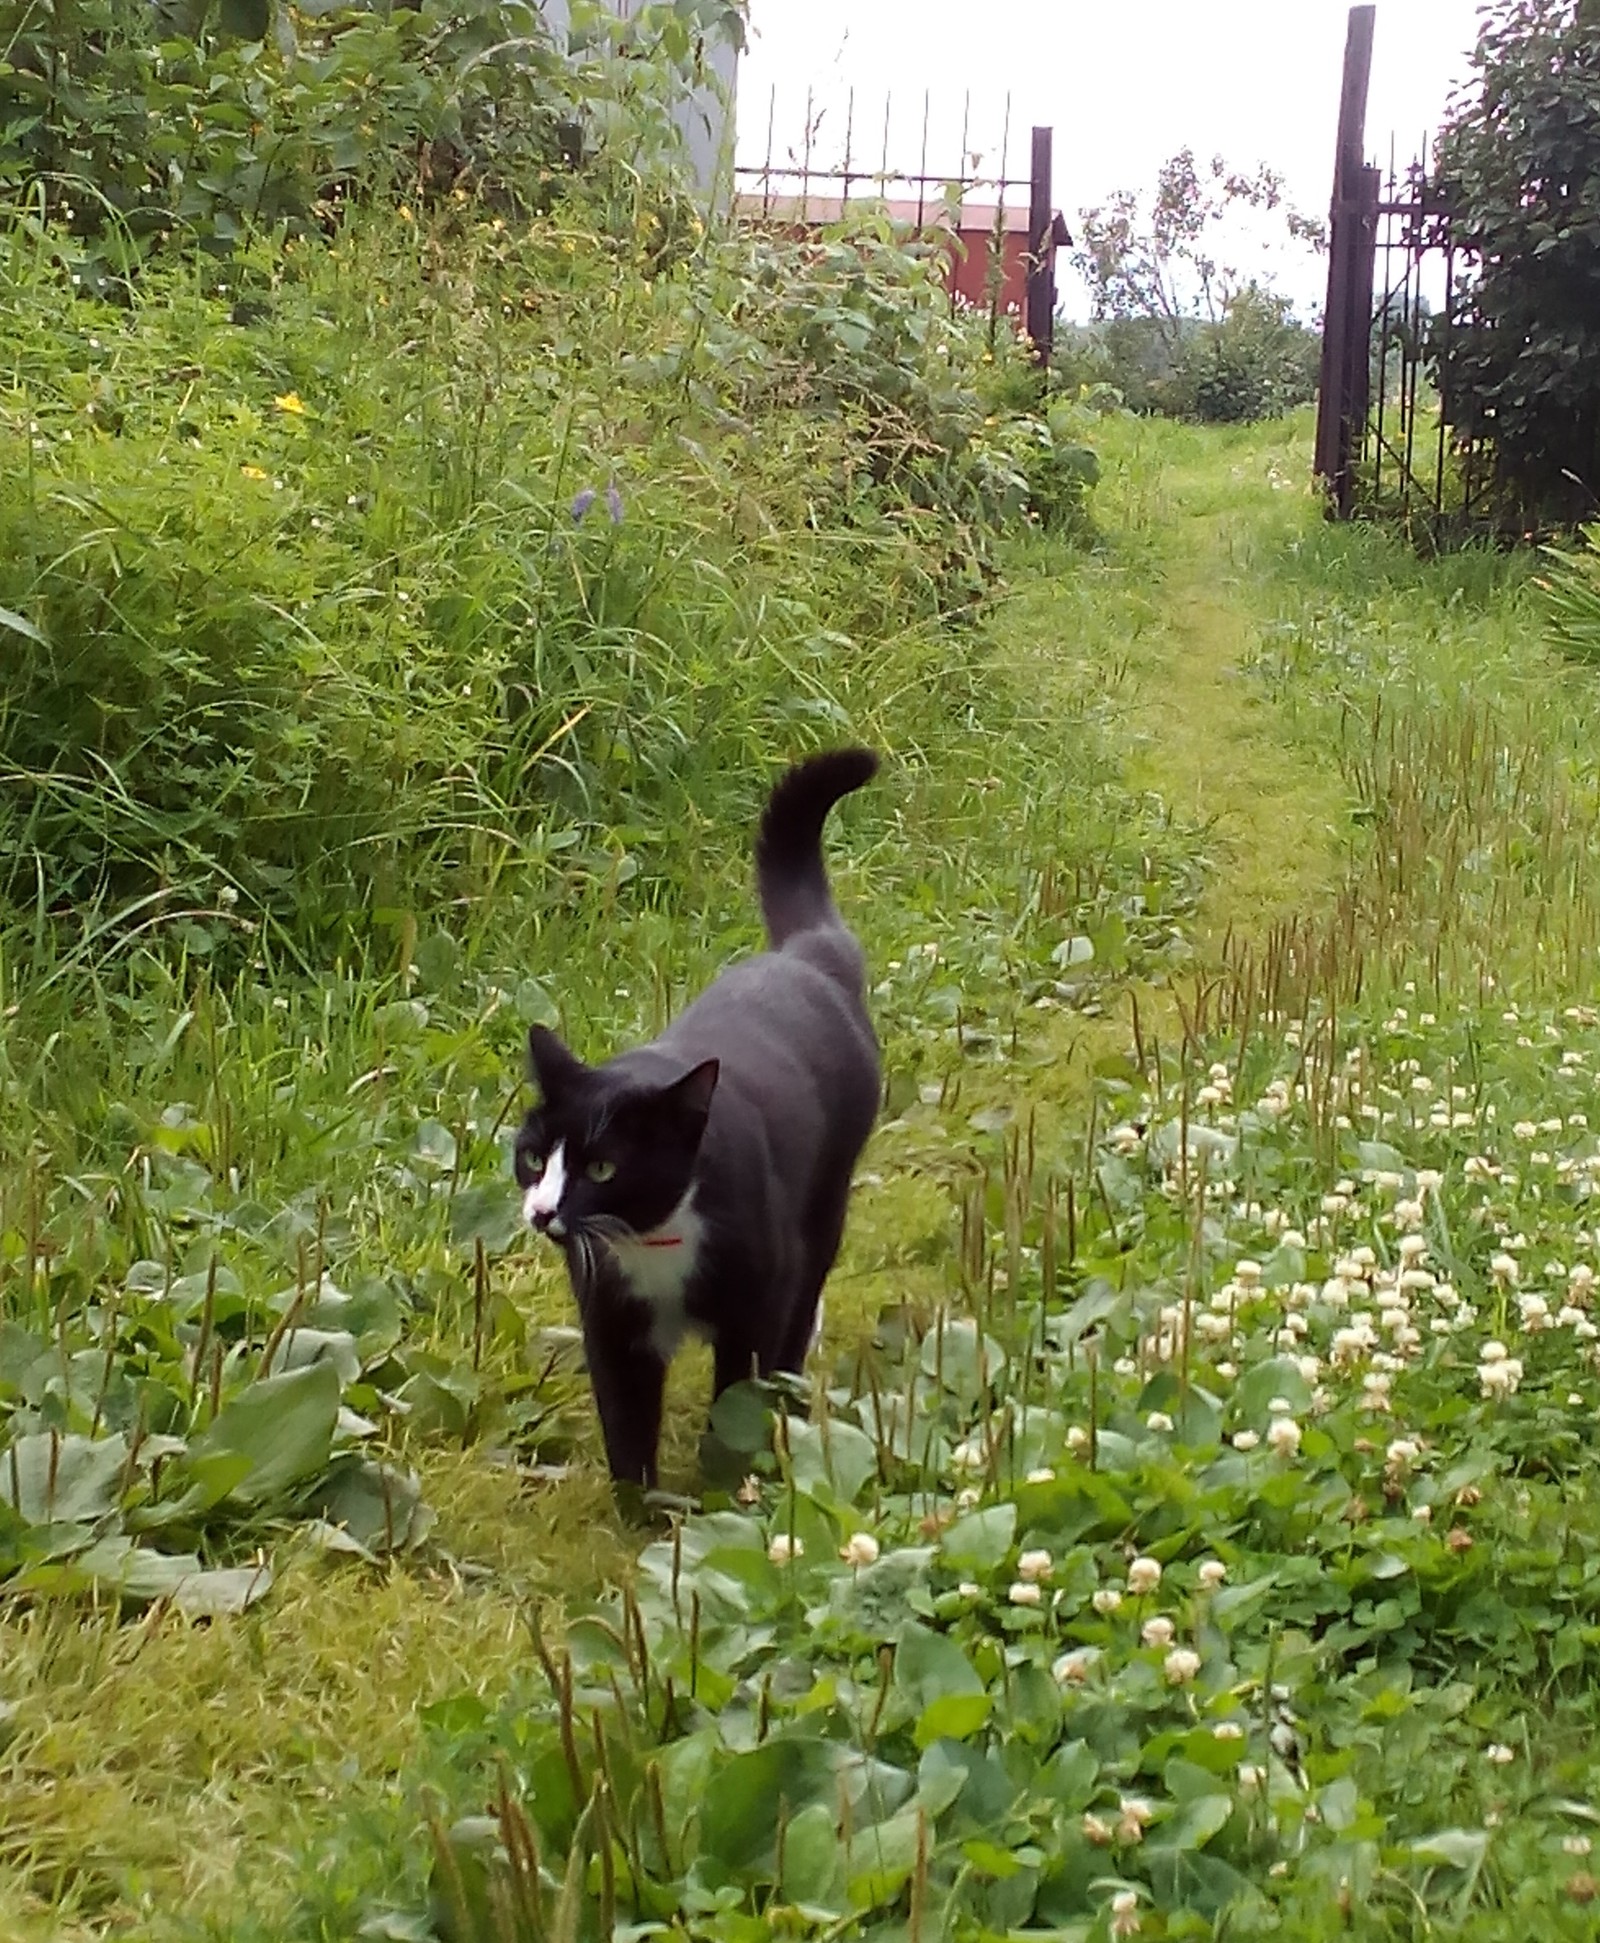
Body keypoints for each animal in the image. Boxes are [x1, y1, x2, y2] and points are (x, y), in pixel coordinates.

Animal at [513, 742, 882, 1484]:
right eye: (534, 1157)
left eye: (602, 1166)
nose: (541, 1211)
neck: (652, 1247)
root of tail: (806, 954)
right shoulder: (610, 1324)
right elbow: (626, 1430)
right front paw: (641, 1505)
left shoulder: (753, 1302)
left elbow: (735, 1396)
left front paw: (726, 1482)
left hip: (822, 1204)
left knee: (800, 1307)